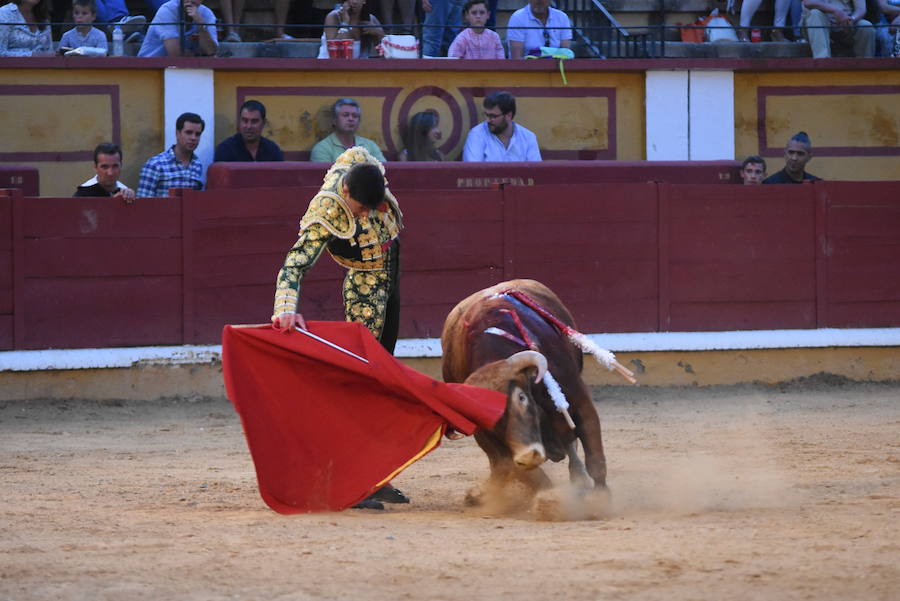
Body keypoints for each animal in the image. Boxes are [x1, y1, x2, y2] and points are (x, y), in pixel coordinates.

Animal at [442, 278, 628, 504]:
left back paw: (579, 479)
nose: (527, 456)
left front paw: (600, 499)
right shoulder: (489, 439)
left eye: (522, 398)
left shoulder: (581, 404)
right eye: (485, 414)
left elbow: (595, 460)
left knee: (570, 444)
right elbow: (529, 475)